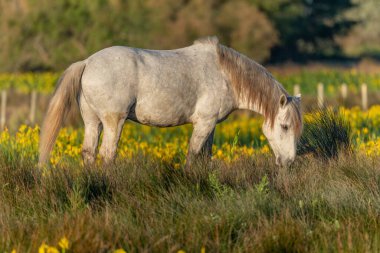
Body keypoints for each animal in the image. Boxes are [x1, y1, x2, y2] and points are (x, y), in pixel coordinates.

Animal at [39, 35, 302, 166]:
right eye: (284, 126)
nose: (288, 162)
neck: (225, 73)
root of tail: (87, 62)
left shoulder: (211, 126)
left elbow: (205, 156)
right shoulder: (204, 123)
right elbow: (193, 155)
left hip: (93, 122)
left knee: (89, 153)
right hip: (114, 121)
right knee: (107, 153)